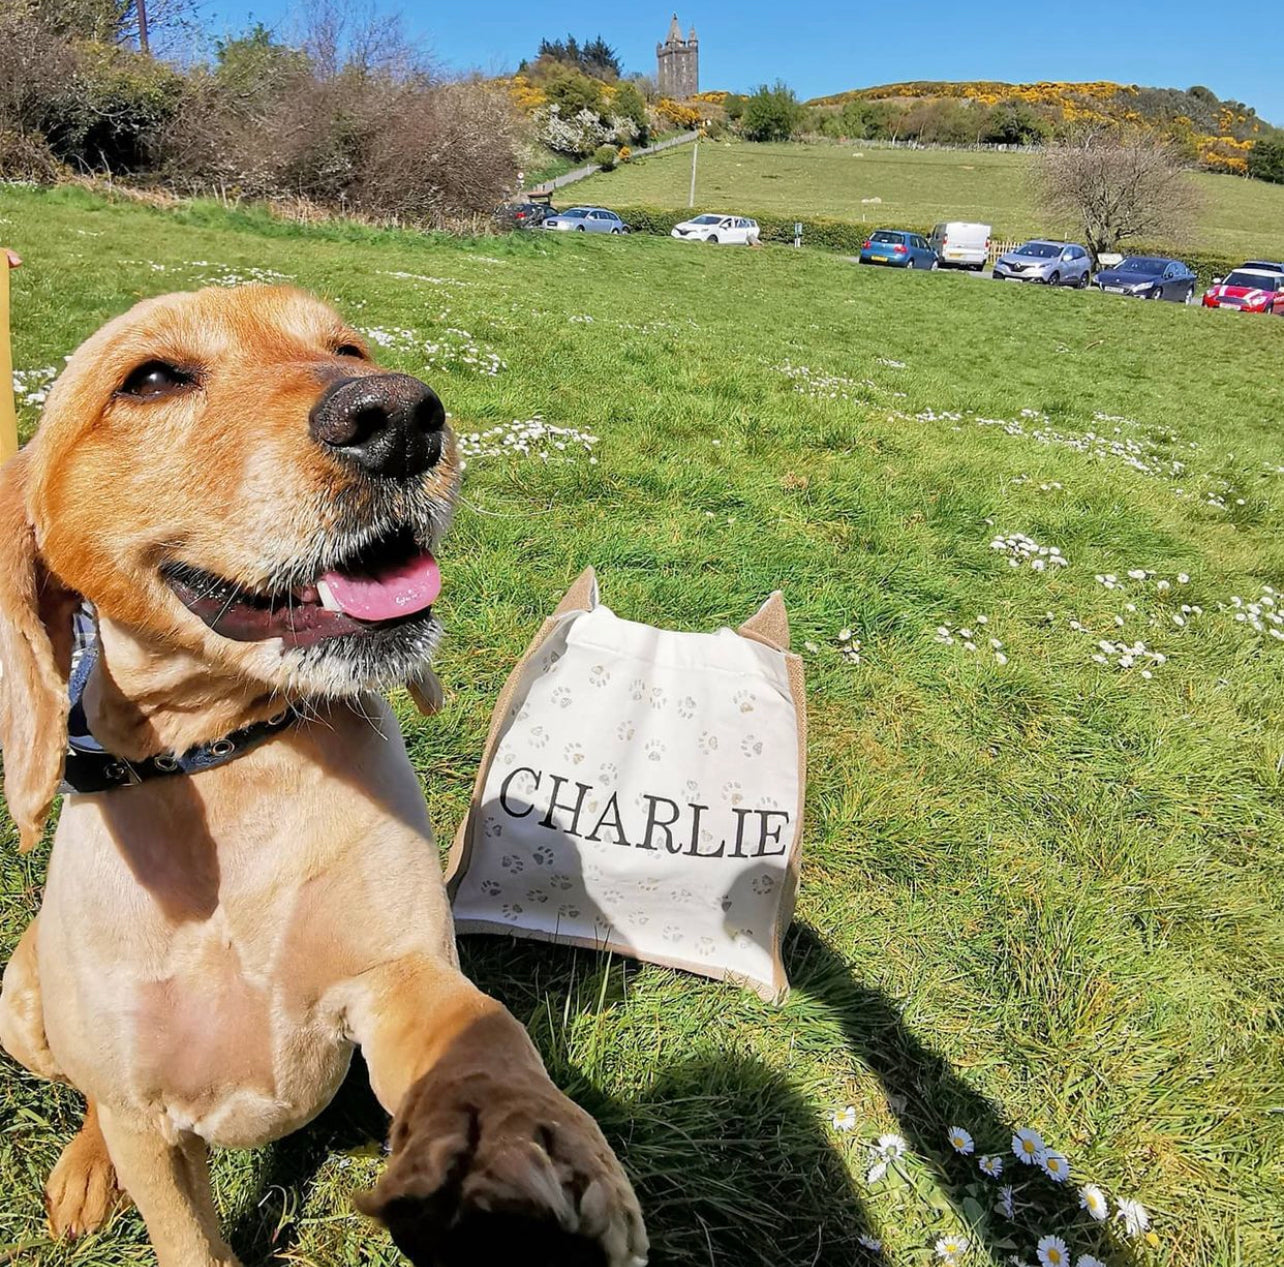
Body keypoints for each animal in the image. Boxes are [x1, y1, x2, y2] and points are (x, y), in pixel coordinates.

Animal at [0, 287, 642, 1267]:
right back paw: (84, 1164)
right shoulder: (148, 1121)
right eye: (150, 378)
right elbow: (182, 1223)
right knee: (87, 1098)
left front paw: (526, 1139)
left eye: (347, 348)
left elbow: (485, 1043)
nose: (402, 418)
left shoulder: (401, 973)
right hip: (21, 999)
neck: (226, 754)